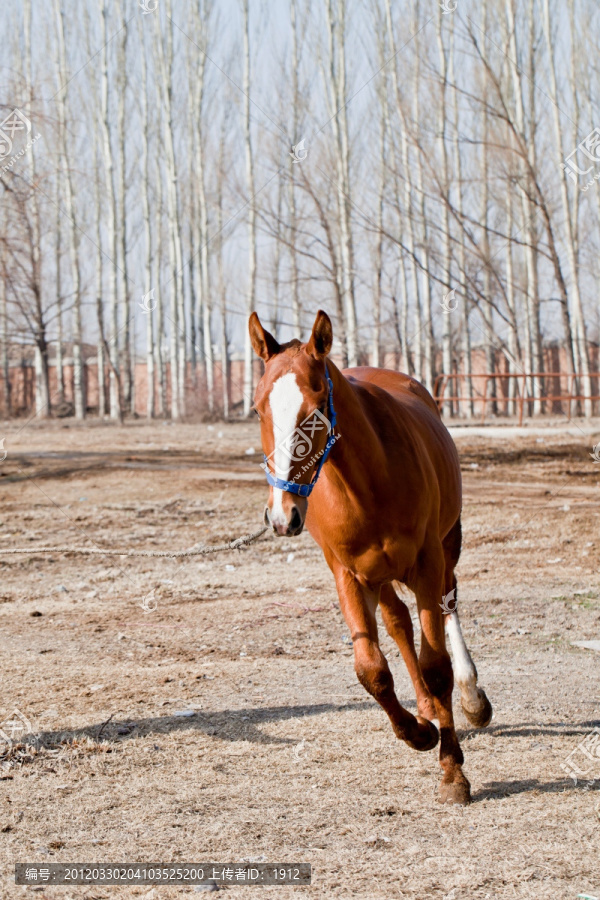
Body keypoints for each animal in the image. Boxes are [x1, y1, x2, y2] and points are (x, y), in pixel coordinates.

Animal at [248, 312, 492, 808]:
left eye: (315, 408)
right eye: (260, 409)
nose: (282, 516)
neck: (368, 483)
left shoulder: (426, 564)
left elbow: (436, 664)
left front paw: (452, 772)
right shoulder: (348, 575)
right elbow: (371, 670)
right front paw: (419, 732)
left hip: (446, 548)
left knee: (449, 606)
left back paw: (470, 698)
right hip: (379, 577)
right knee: (399, 624)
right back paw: (425, 710)